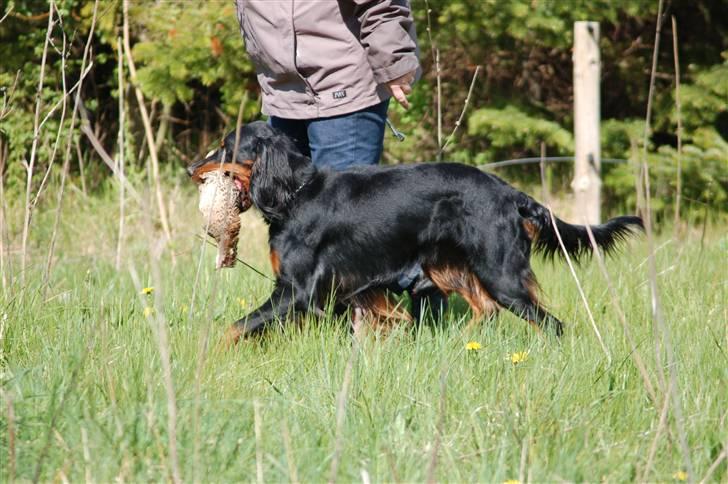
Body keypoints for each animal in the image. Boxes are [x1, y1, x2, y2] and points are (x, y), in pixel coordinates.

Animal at [189, 122, 644, 344]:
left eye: (226, 147)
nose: (191, 166)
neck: (297, 194)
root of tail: (509, 193)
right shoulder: (356, 284)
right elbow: (391, 315)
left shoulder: (295, 290)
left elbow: (233, 329)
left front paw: (203, 353)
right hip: (447, 264)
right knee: (484, 309)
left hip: (501, 273)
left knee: (549, 324)